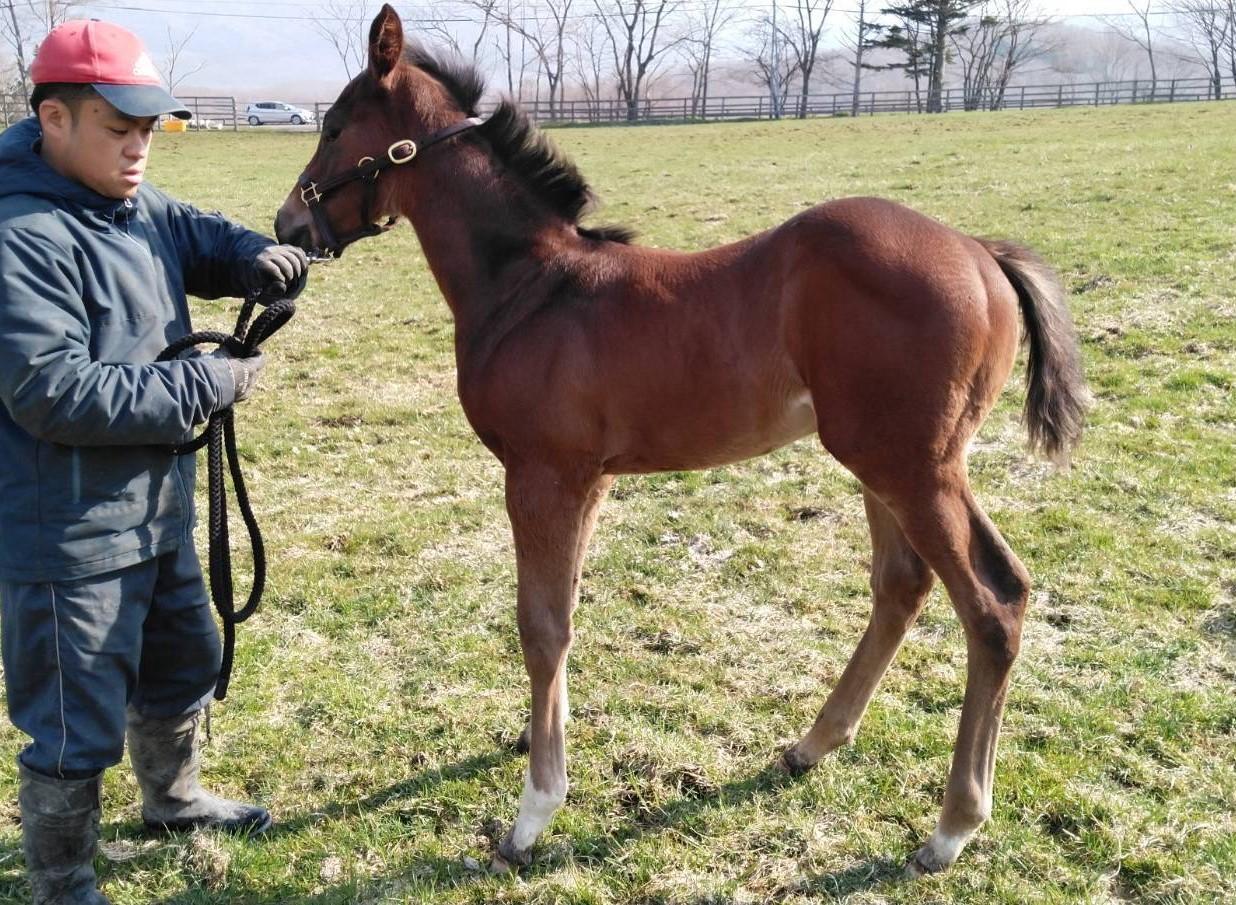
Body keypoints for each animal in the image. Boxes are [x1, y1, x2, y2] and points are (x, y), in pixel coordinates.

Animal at [275, 3, 1087, 875]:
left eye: (333, 127)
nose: (289, 222)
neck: (532, 288)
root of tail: (981, 253)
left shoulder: (540, 475)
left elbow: (540, 623)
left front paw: (534, 811)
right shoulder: (587, 480)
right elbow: (563, 609)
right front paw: (540, 735)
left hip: (915, 466)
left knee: (994, 603)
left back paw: (952, 825)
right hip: (883, 464)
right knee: (902, 585)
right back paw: (813, 744)